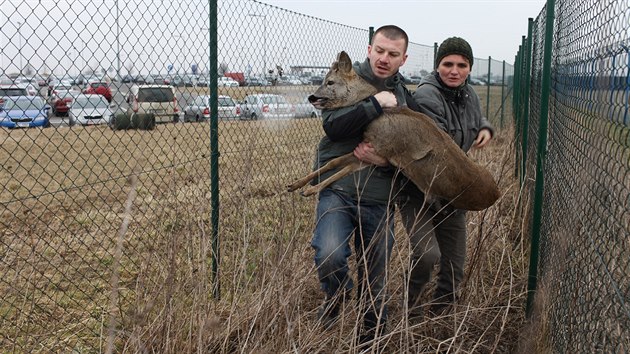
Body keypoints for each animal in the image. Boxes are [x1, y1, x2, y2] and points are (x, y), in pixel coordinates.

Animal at [290, 49, 504, 210]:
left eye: (330, 82)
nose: (311, 97)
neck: (381, 115)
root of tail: (496, 194)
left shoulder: (380, 151)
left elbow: (342, 170)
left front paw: (309, 190)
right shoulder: (369, 150)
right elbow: (333, 163)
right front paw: (295, 185)